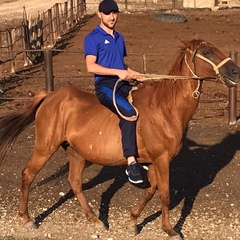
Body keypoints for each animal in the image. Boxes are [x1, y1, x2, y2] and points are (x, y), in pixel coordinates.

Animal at [0, 38, 239, 239]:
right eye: (207, 52)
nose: (235, 70)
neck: (166, 109)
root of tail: (49, 96)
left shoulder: (154, 161)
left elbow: (151, 190)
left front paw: (133, 221)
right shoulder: (162, 160)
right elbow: (164, 194)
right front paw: (169, 230)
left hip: (76, 153)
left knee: (75, 182)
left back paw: (95, 220)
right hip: (45, 147)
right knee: (28, 174)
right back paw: (27, 218)